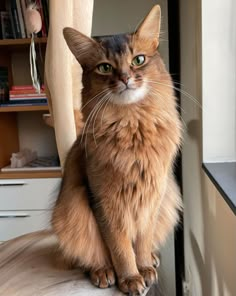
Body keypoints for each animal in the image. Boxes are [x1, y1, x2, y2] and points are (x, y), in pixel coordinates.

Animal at [51, 5, 182, 296]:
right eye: (105, 67)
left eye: (138, 60)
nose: (124, 78)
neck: (133, 128)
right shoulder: (105, 203)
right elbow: (119, 247)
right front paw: (130, 277)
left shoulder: (152, 198)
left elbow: (142, 240)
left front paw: (144, 267)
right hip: (69, 211)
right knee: (86, 256)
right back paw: (102, 271)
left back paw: (152, 259)